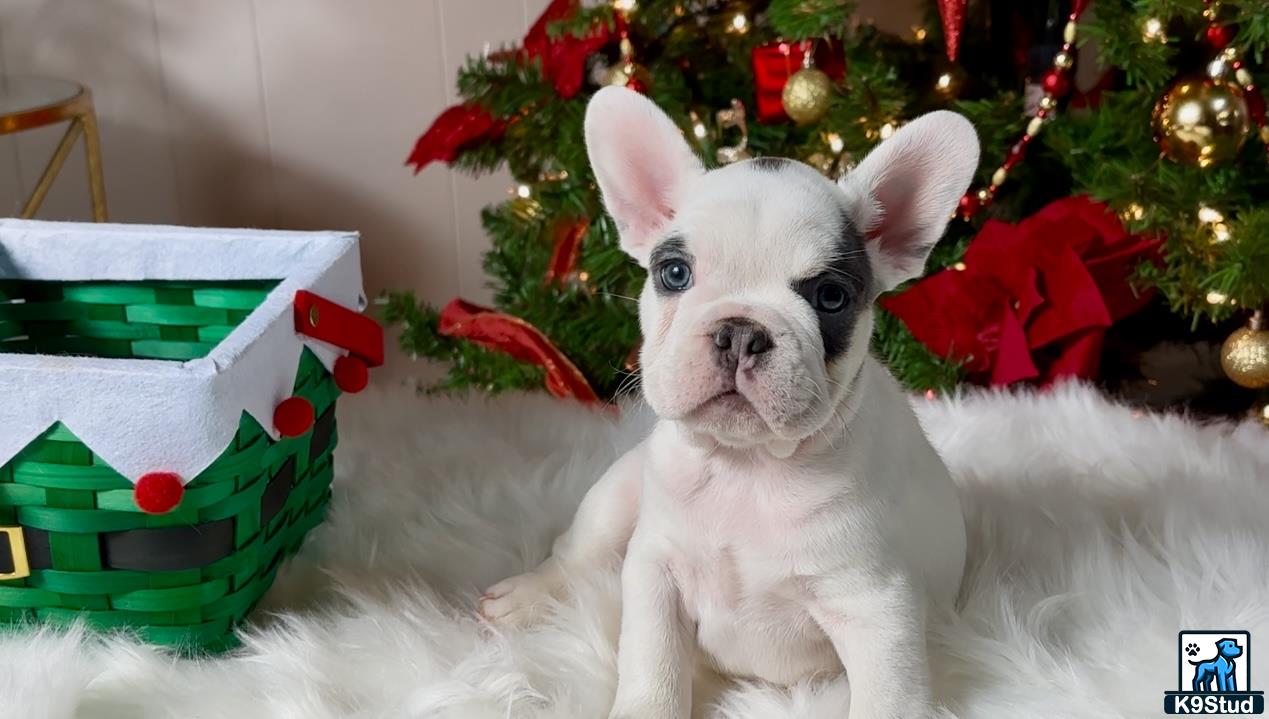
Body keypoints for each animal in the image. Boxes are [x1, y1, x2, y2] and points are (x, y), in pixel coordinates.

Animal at [479, 85, 974, 719]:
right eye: (674, 273)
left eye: (830, 297)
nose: (741, 330)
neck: (750, 467)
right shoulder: (656, 571)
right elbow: (653, 667)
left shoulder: (878, 607)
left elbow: (888, 699)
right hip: (617, 493)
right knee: (576, 554)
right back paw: (527, 595)